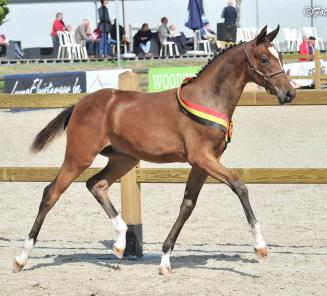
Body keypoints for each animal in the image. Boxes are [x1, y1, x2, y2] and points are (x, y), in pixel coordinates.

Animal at [14, 26, 298, 276]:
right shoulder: (202, 157)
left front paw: (164, 261)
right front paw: (260, 246)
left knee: (97, 184)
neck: (208, 98)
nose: (289, 93)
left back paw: (120, 242)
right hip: (79, 156)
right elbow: (239, 185)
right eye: (264, 58)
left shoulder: (202, 164)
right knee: (51, 193)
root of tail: (79, 104)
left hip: (124, 159)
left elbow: (187, 205)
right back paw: (21, 258)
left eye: (281, 57)